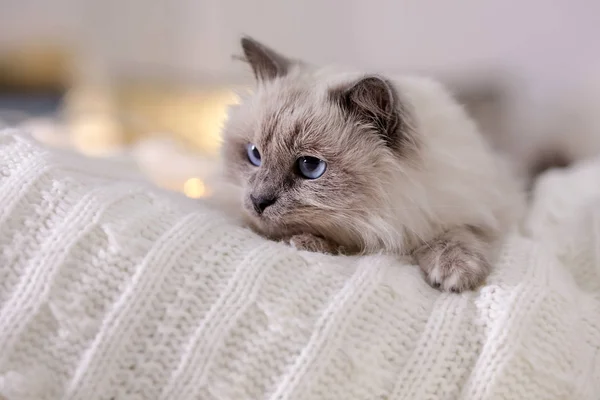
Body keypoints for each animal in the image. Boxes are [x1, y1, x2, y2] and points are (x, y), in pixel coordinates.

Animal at [220, 36, 524, 294]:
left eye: (310, 166)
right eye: (254, 155)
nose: (258, 201)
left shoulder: (488, 211)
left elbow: (461, 232)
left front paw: (454, 271)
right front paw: (305, 242)